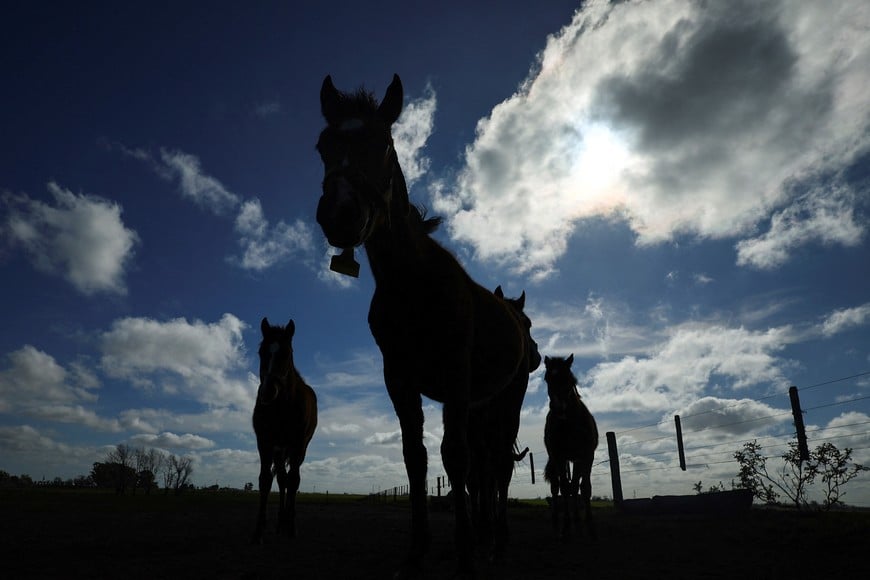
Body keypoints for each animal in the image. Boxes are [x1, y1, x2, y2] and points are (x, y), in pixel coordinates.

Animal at [251, 317, 318, 543]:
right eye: (261, 351)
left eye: (286, 353)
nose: (267, 392)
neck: (281, 407)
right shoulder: (265, 442)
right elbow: (265, 480)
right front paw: (258, 531)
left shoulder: (297, 445)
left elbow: (294, 481)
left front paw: (292, 527)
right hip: (279, 451)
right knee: (281, 479)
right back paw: (280, 522)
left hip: (297, 449)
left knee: (289, 480)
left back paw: (288, 522)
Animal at [316, 74, 536, 578]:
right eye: (323, 146)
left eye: (385, 144)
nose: (340, 214)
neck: (412, 284)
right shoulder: (399, 379)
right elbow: (415, 459)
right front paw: (417, 551)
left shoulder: (454, 377)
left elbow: (455, 459)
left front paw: (466, 553)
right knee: (486, 467)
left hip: (505, 402)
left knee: (498, 466)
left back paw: (495, 542)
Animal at [543, 354, 598, 539]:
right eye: (547, 378)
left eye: (568, 378)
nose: (558, 408)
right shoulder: (559, 457)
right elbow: (565, 488)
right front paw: (566, 527)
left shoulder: (586, 456)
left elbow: (584, 488)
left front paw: (589, 526)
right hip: (557, 460)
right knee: (556, 487)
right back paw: (556, 524)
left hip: (576, 460)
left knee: (574, 486)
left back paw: (578, 523)